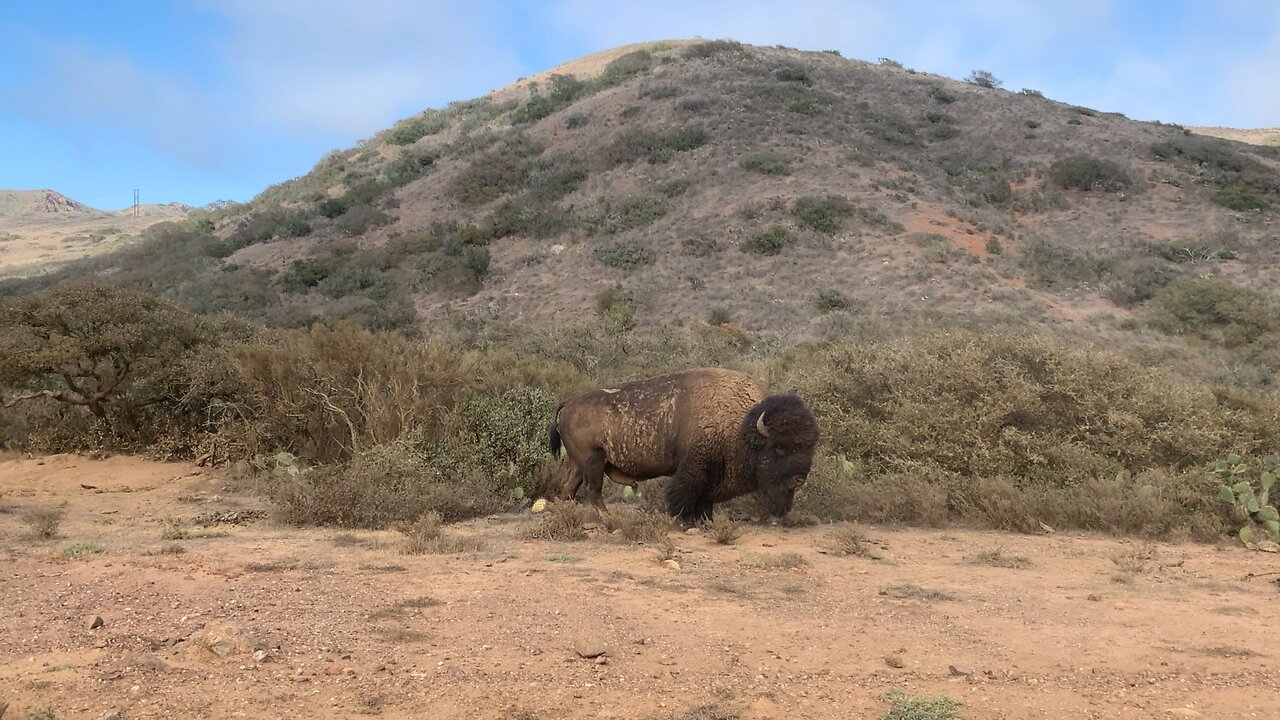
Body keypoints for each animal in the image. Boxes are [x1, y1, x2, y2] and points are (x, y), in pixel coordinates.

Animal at [550, 368, 819, 520]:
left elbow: (705, 500)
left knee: (568, 489)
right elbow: (684, 491)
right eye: (779, 447)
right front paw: (684, 520)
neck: (742, 425)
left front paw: (706, 521)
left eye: (810, 447)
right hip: (592, 462)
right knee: (592, 491)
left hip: (579, 463)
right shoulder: (694, 466)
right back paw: (610, 523)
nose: (800, 478)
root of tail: (568, 403)